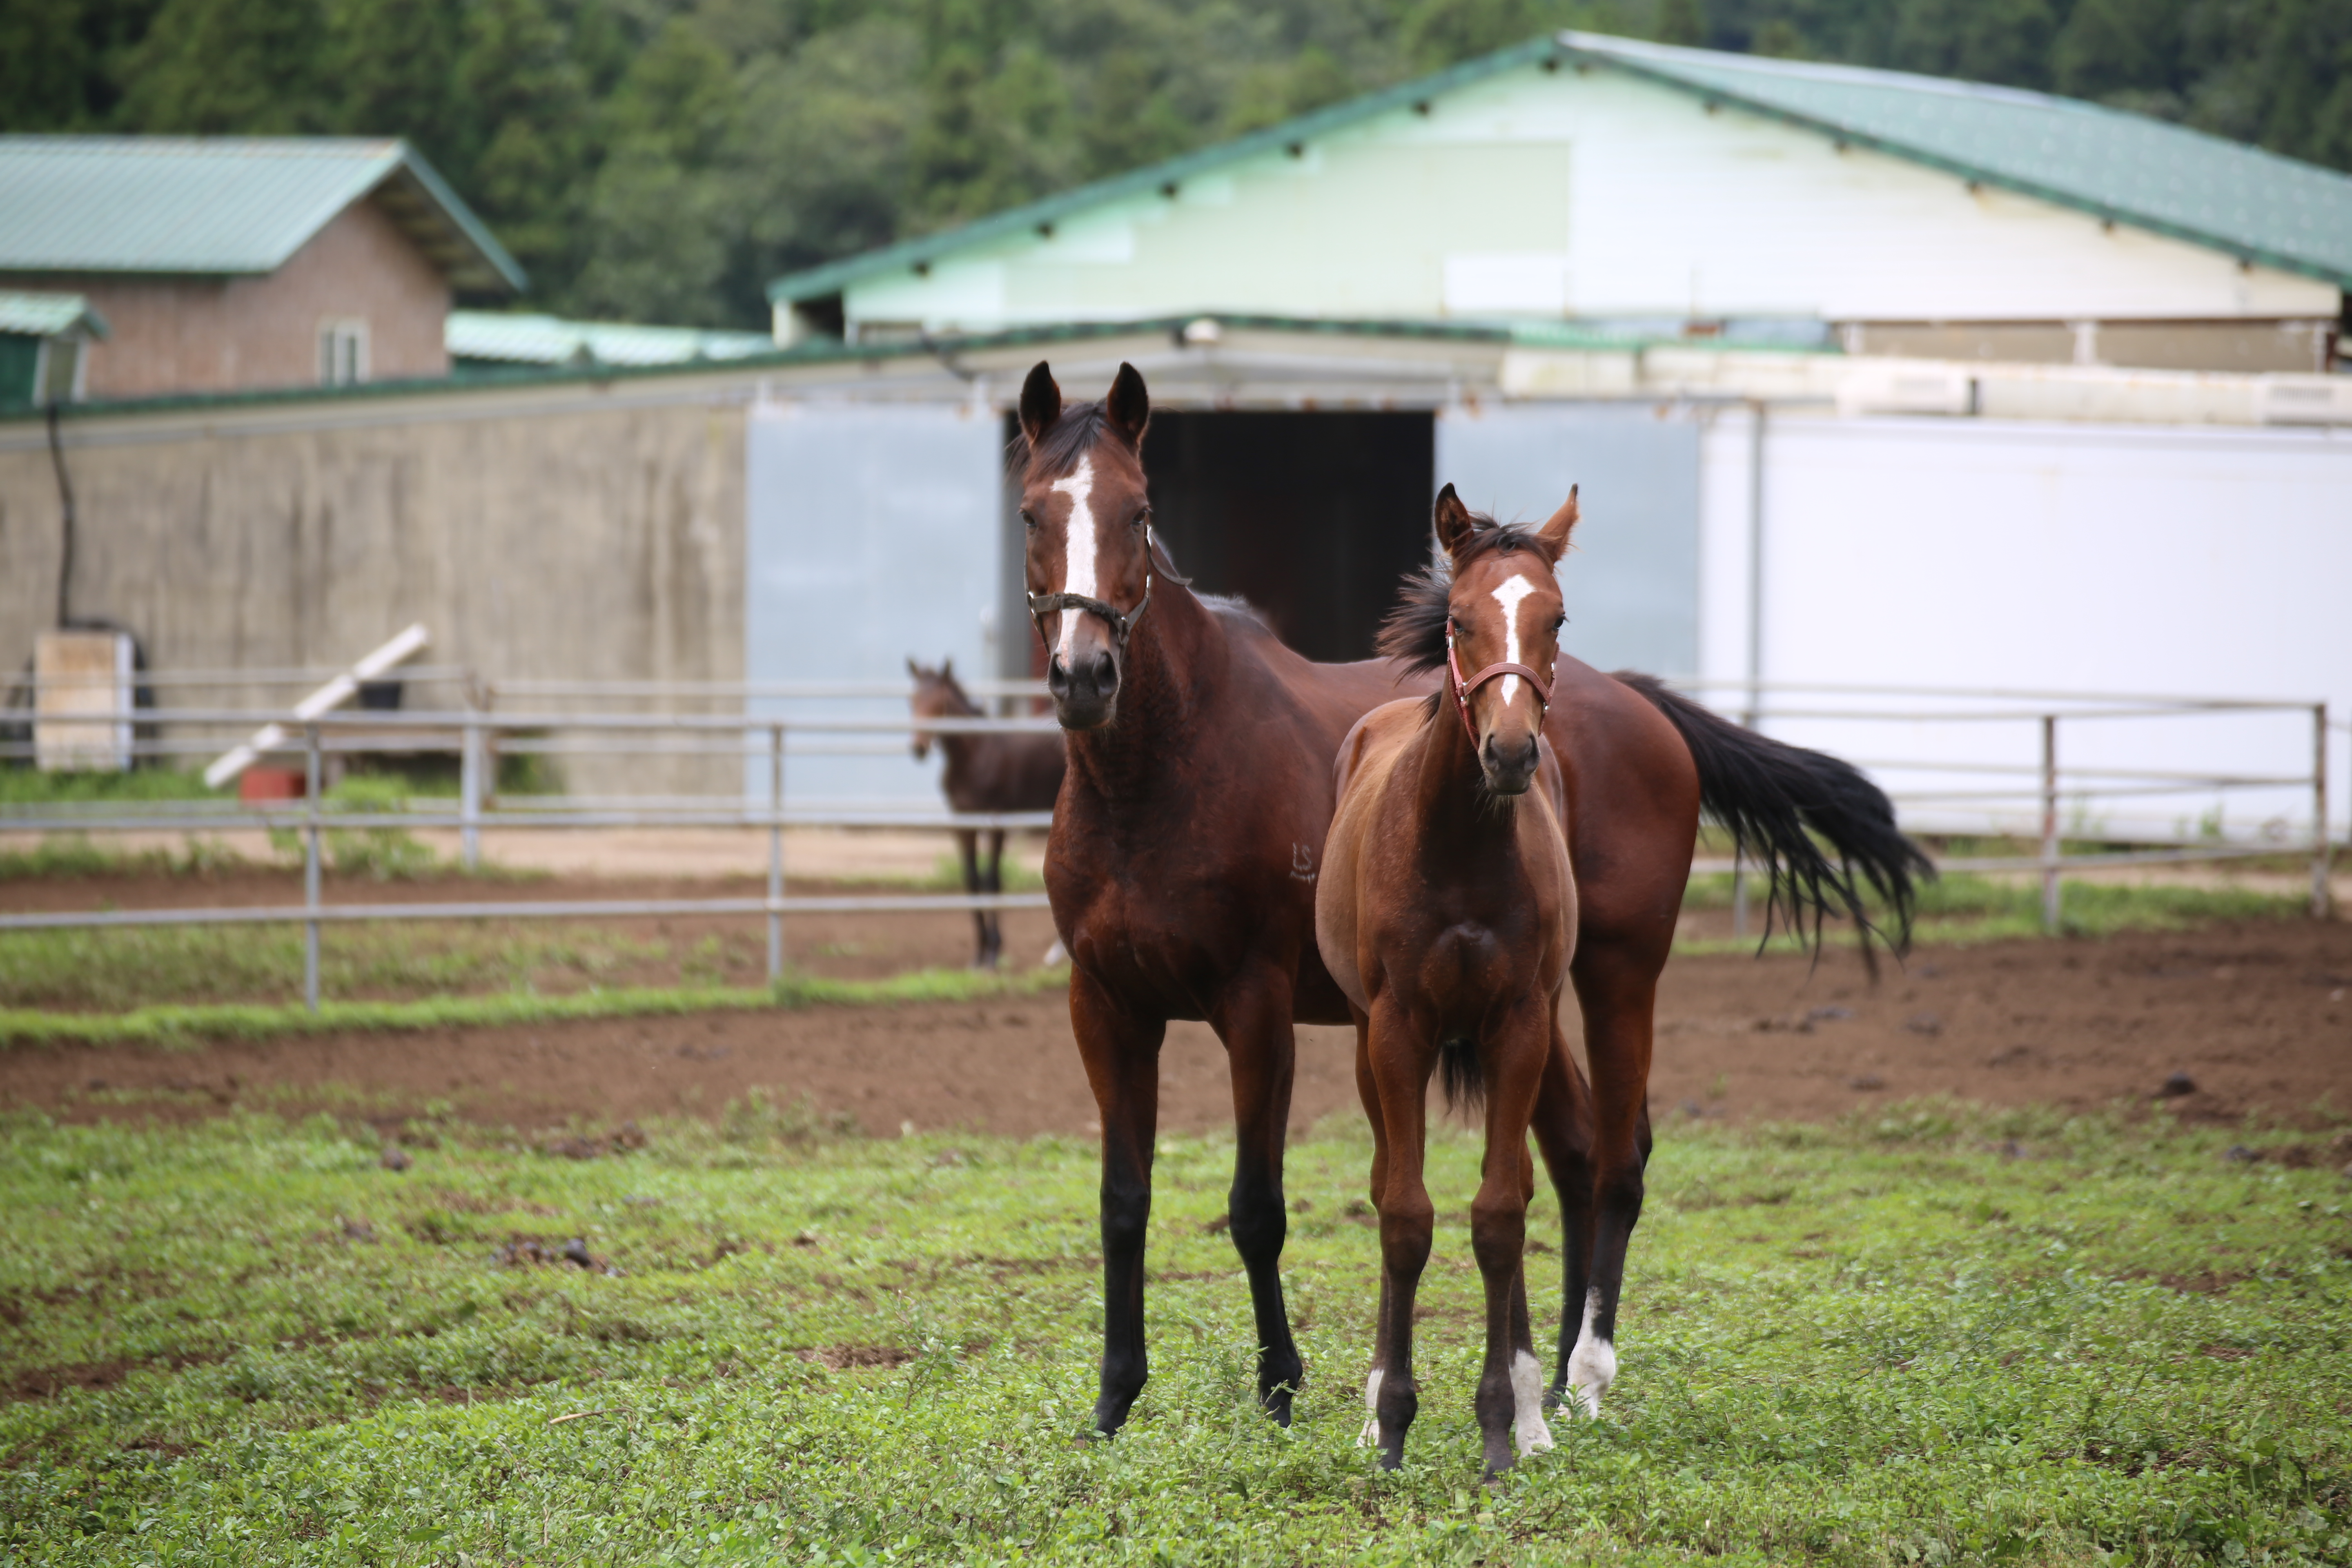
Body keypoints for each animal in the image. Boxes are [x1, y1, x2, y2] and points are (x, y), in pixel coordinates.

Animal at [1326, 486, 1580, 1476]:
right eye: (1462, 619)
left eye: (1557, 619)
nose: (1510, 752)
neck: (1462, 849)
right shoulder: (1399, 1031)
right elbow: (1404, 1214)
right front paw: (1393, 1420)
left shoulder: (1520, 1025)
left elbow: (1500, 1214)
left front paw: (1502, 1427)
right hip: (1369, 1046)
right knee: (1384, 1181)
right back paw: (1370, 1410)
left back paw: (1537, 1413)